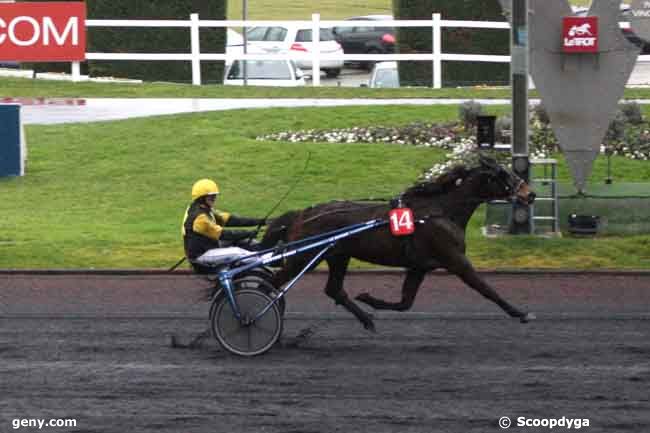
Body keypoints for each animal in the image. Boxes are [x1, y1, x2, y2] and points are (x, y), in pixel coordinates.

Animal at [258, 155, 536, 330]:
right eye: (503, 174)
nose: (530, 194)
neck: (441, 211)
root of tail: (302, 214)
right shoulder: (455, 260)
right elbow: (486, 289)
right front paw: (520, 312)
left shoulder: (420, 266)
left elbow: (405, 303)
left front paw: (369, 299)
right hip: (303, 257)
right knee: (269, 285)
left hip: (338, 255)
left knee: (334, 289)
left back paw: (366, 320)